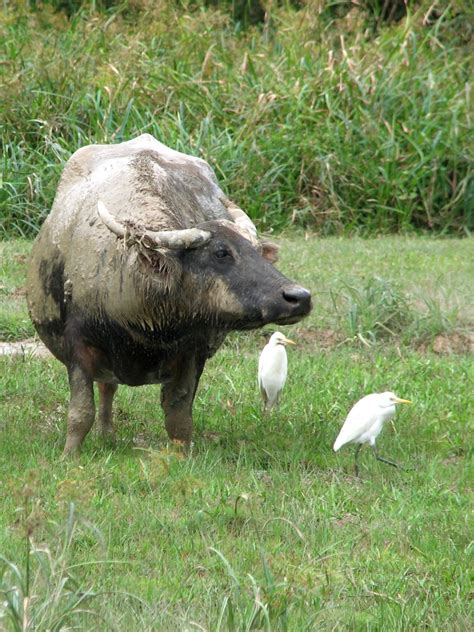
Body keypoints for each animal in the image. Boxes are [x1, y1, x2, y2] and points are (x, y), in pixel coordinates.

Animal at [27, 135, 312, 454]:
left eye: (257, 250)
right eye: (221, 252)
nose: (300, 297)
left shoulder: (193, 352)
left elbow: (178, 413)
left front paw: (182, 454)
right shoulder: (78, 347)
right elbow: (81, 411)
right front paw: (70, 454)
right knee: (107, 388)